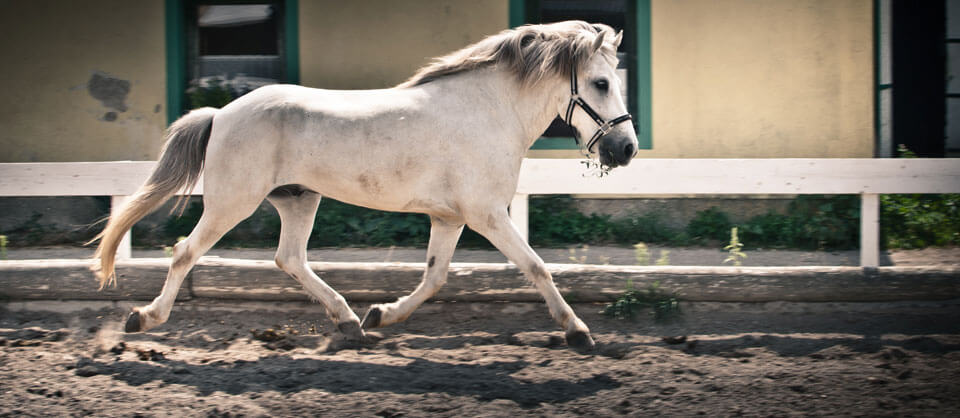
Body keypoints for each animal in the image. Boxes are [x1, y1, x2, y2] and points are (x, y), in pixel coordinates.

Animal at [92, 20, 636, 350]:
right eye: (601, 83)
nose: (625, 149)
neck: (488, 110)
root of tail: (221, 113)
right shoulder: (486, 214)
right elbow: (536, 267)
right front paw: (579, 332)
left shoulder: (450, 217)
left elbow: (435, 278)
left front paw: (380, 314)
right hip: (233, 203)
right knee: (186, 251)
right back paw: (143, 318)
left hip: (298, 200)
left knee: (289, 258)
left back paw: (350, 322)